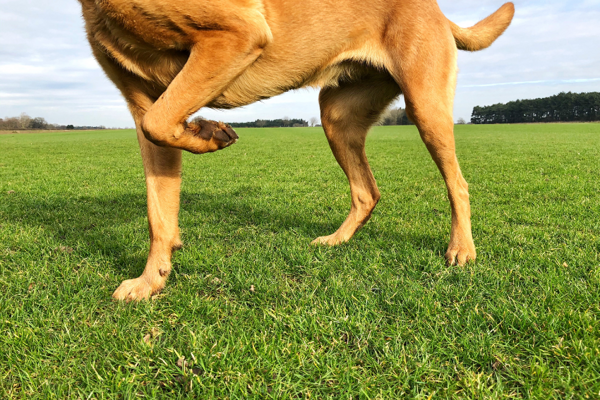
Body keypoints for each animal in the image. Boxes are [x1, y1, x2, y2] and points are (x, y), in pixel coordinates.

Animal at [77, 0, 515, 301]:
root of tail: (438, 11)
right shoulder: (143, 104)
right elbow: (159, 210)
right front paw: (151, 280)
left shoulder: (237, 33)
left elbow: (160, 126)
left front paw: (209, 132)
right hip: (338, 117)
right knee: (367, 192)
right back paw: (337, 240)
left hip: (425, 105)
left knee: (458, 183)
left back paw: (461, 249)